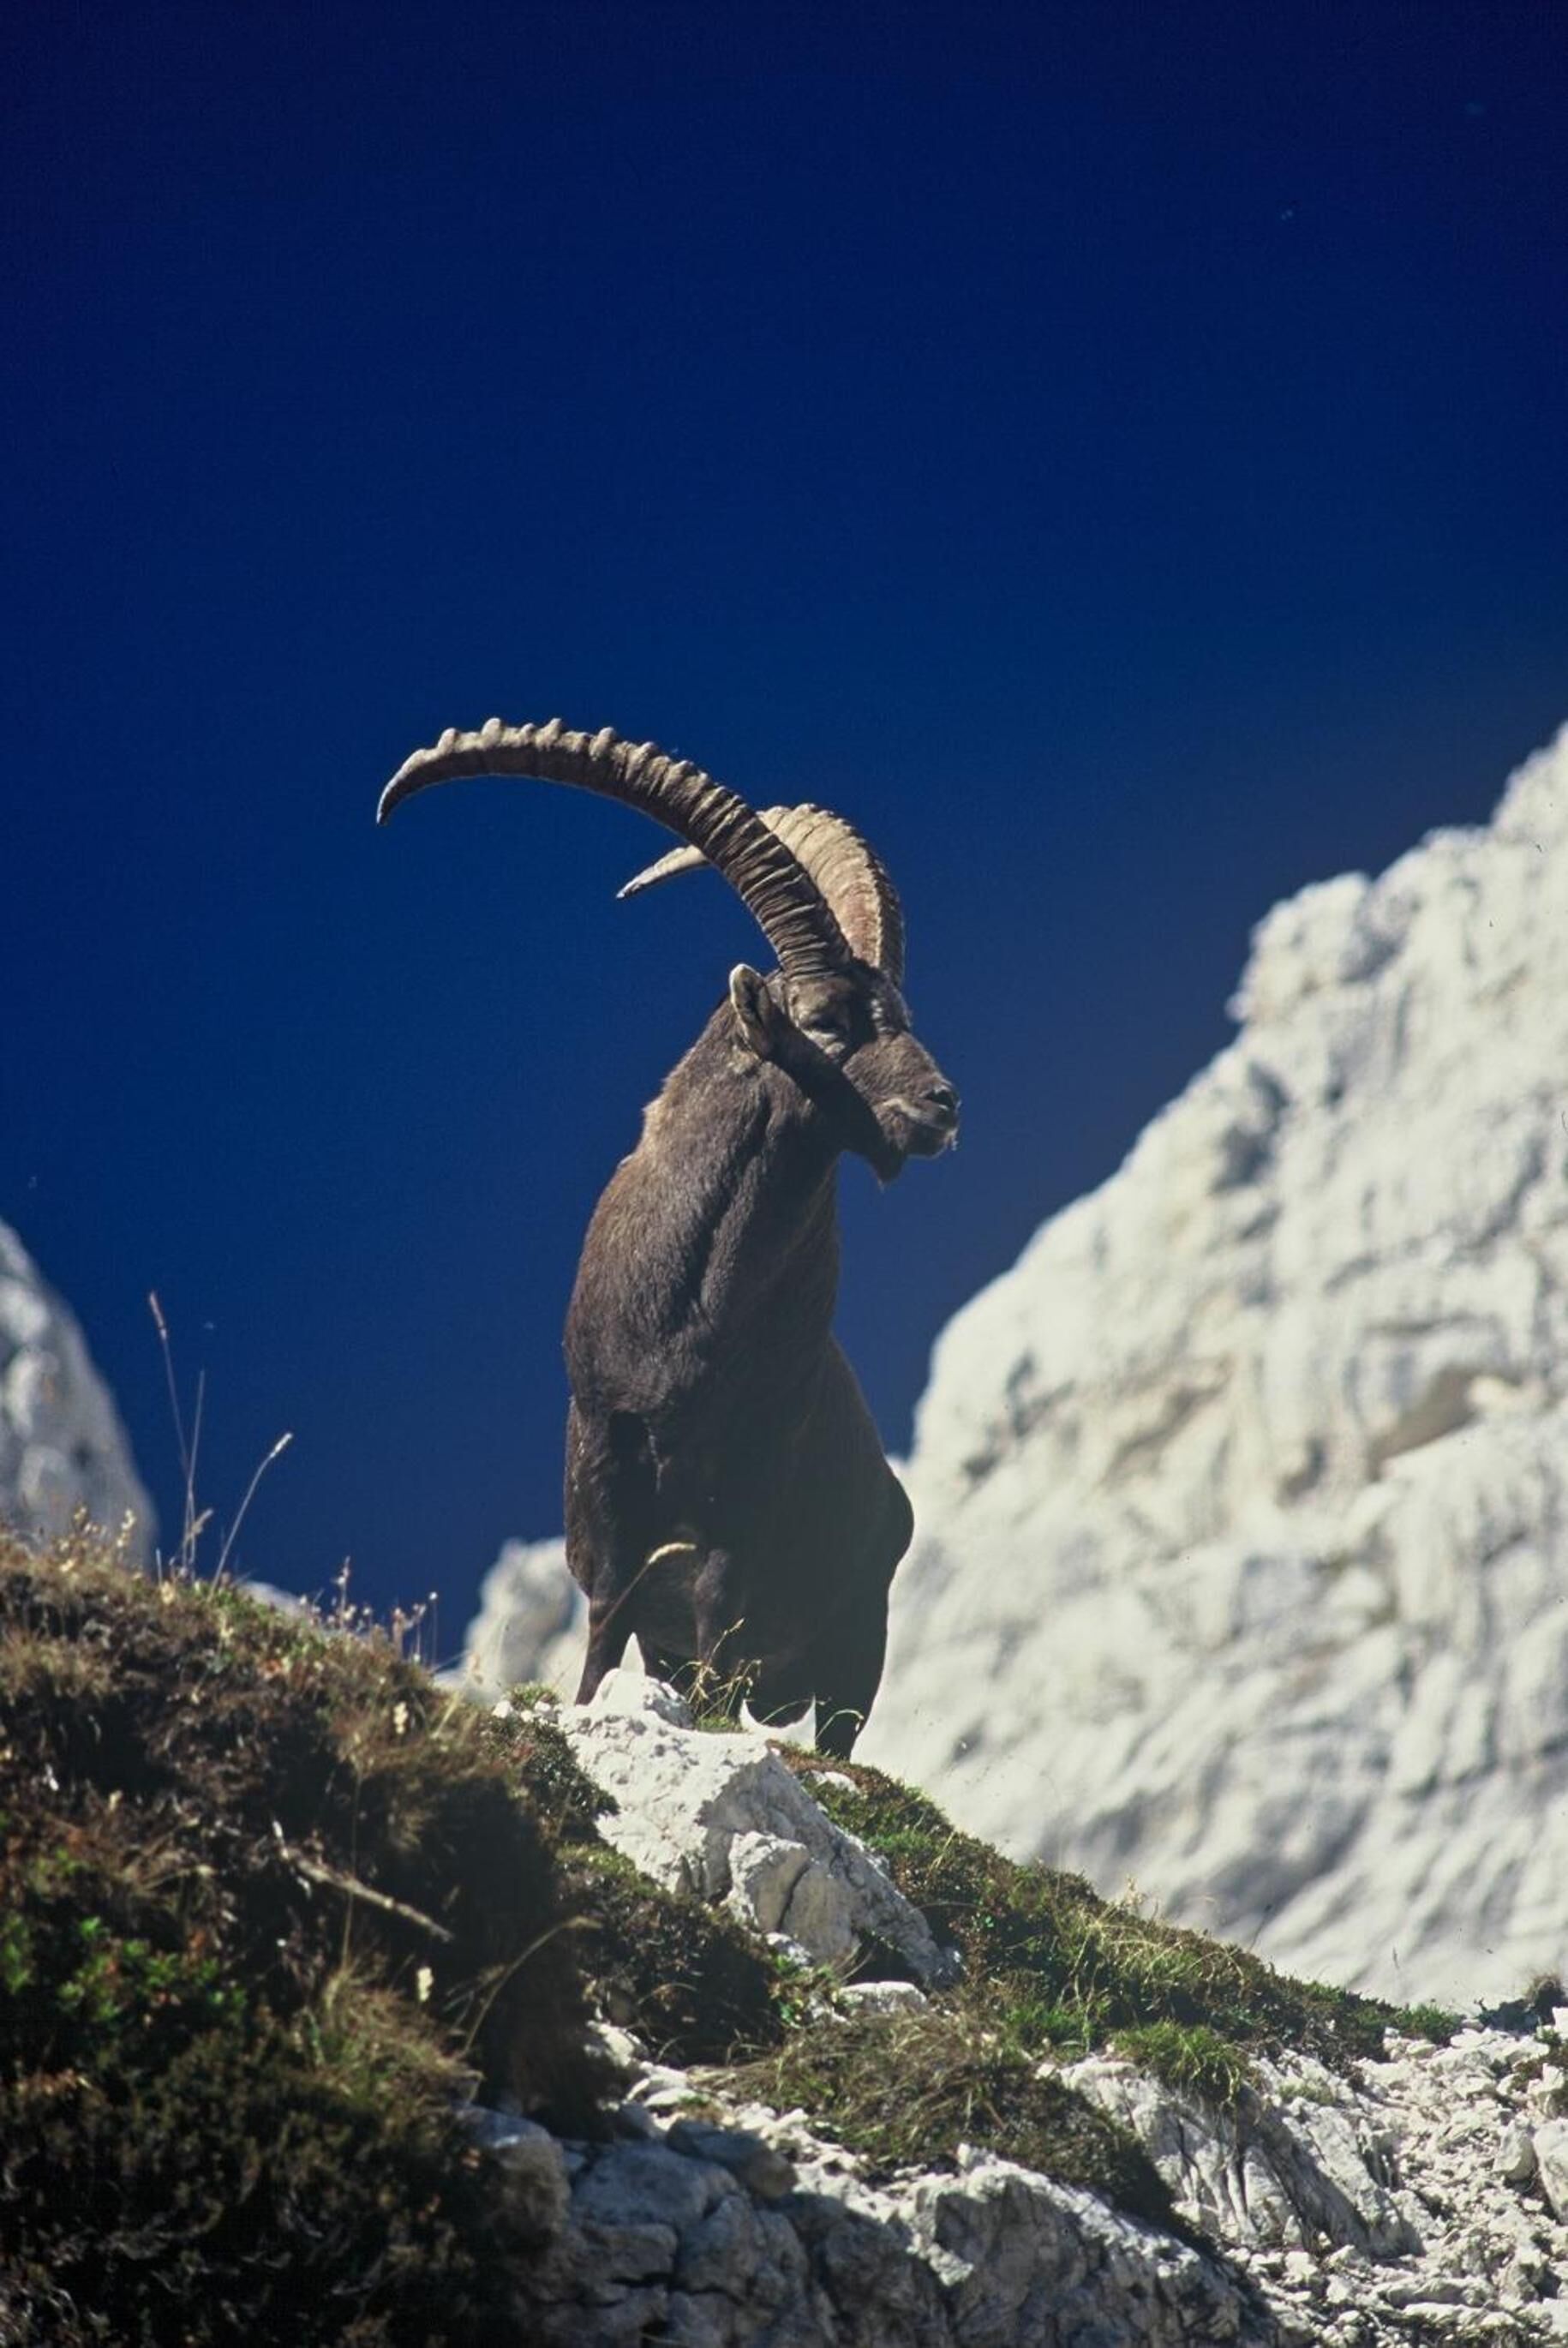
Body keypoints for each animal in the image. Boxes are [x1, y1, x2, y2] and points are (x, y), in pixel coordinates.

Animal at [377, 718, 958, 1753]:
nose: (942, 1105)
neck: (687, 1322)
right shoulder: (607, 1473)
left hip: (859, 1637)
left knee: (832, 1725)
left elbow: (720, 1622)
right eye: (824, 1020)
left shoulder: (741, 1499)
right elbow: (603, 1625)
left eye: (900, 1016)